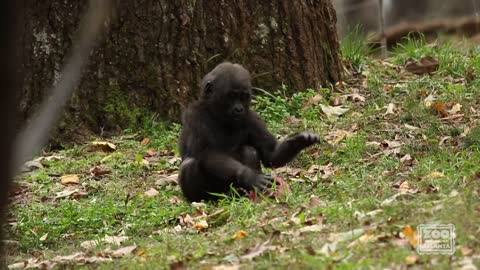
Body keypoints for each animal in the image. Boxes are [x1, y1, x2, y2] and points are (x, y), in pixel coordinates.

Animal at [179, 61, 318, 200]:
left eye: (243, 97)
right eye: (231, 96)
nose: (239, 109)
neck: (216, 114)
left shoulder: (252, 118)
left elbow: (271, 155)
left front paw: (299, 141)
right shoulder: (194, 115)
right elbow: (206, 153)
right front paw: (248, 175)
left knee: (249, 150)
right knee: (189, 164)